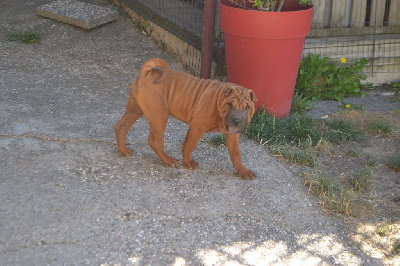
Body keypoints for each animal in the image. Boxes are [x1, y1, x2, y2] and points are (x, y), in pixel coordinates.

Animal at [115, 58, 260, 179]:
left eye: (247, 107)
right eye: (230, 104)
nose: (237, 120)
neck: (218, 100)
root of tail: (146, 74)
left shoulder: (232, 135)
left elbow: (236, 153)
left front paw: (243, 171)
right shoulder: (197, 127)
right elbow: (189, 145)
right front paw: (188, 162)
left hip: (135, 109)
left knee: (121, 126)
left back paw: (123, 151)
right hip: (159, 115)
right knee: (154, 140)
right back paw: (168, 160)